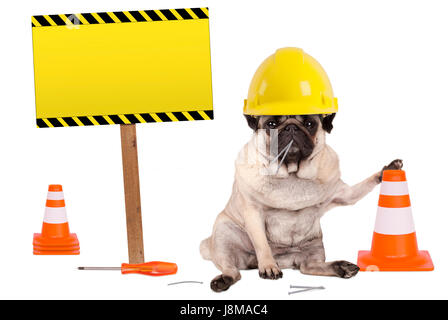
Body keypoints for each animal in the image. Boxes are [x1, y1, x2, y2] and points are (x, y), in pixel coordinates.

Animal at [200, 114, 402, 292]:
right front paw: (268, 265)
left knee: (308, 266)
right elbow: (262, 244)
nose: (291, 127)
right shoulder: (253, 212)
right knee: (233, 269)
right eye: (271, 124)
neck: (291, 174)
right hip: (223, 235)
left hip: (314, 248)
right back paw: (225, 279)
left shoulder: (344, 194)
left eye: (310, 123)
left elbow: (362, 186)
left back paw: (341, 267)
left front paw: (386, 170)